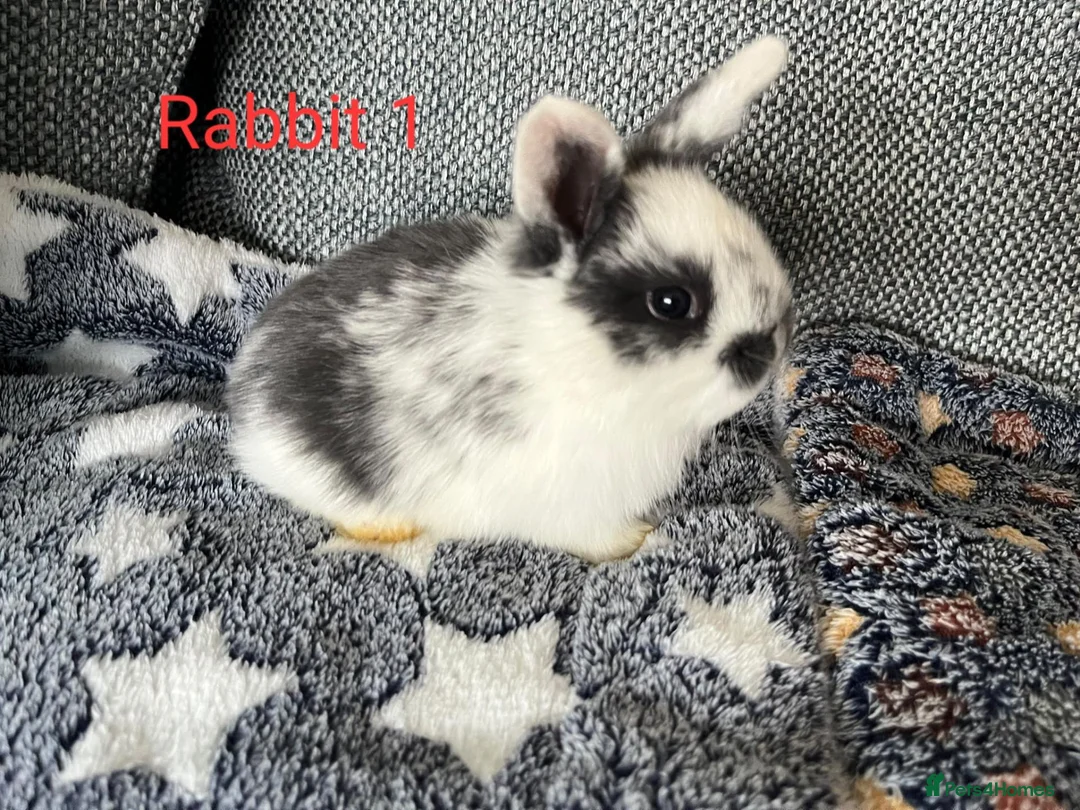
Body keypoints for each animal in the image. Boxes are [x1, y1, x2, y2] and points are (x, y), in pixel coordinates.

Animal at [226, 35, 794, 563]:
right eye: (672, 302)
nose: (772, 348)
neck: (578, 364)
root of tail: (244, 385)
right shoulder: (573, 508)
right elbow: (599, 541)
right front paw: (638, 541)